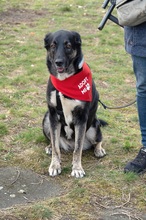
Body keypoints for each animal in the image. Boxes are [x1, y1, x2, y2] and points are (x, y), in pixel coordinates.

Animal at [42, 29, 106, 178]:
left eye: (68, 46)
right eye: (53, 45)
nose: (58, 62)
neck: (65, 81)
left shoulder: (81, 119)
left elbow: (78, 149)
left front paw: (77, 168)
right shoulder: (53, 115)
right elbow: (56, 148)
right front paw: (55, 165)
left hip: (93, 126)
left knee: (97, 139)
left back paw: (99, 149)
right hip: (47, 119)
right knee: (54, 141)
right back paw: (49, 147)